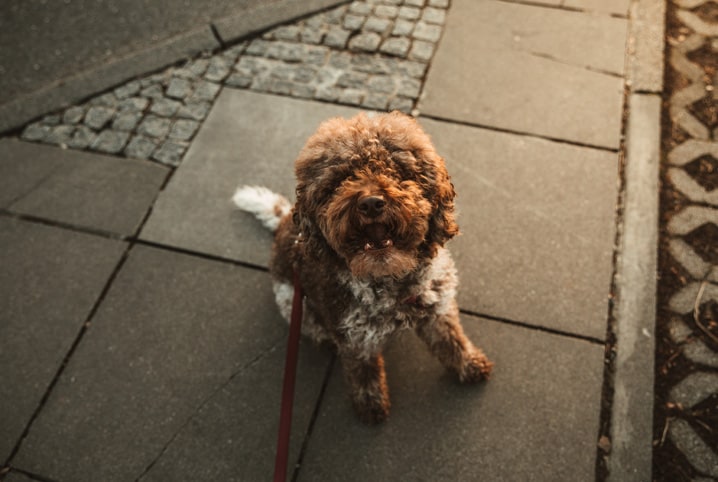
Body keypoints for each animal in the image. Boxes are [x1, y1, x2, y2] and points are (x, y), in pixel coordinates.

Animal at [233, 112, 492, 422]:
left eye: (396, 169)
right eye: (340, 179)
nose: (370, 203)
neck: (390, 281)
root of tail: (285, 220)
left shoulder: (437, 306)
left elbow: (451, 339)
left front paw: (469, 364)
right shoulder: (355, 339)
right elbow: (363, 372)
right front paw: (370, 405)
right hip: (294, 304)